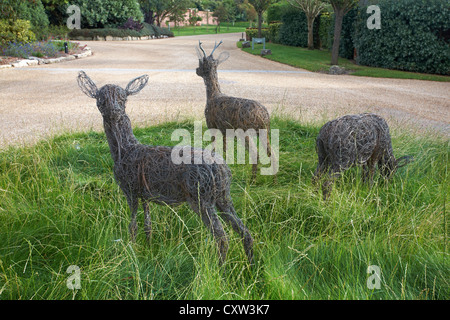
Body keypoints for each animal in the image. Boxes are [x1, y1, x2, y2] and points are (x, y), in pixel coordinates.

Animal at [77, 70, 253, 264]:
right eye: (100, 98)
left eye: (124, 98)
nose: (114, 111)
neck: (125, 151)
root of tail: (223, 170)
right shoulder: (145, 193)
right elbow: (148, 224)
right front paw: (148, 249)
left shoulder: (129, 188)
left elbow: (132, 225)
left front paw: (131, 251)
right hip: (223, 197)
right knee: (244, 231)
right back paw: (250, 266)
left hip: (201, 197)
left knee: (222, 237)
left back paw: (219, 267)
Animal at [196, 40, 276, 180]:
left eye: (201, 63)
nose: (196, 70)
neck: (213, 96)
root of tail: (264, 116)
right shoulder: (224, 129)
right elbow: (224, 147)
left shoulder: (211, 124)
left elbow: (214, 146)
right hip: (264, 130)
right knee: (271, 152)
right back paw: (274, 179)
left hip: (244, 130)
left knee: (255, 153)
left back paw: (252, 180)